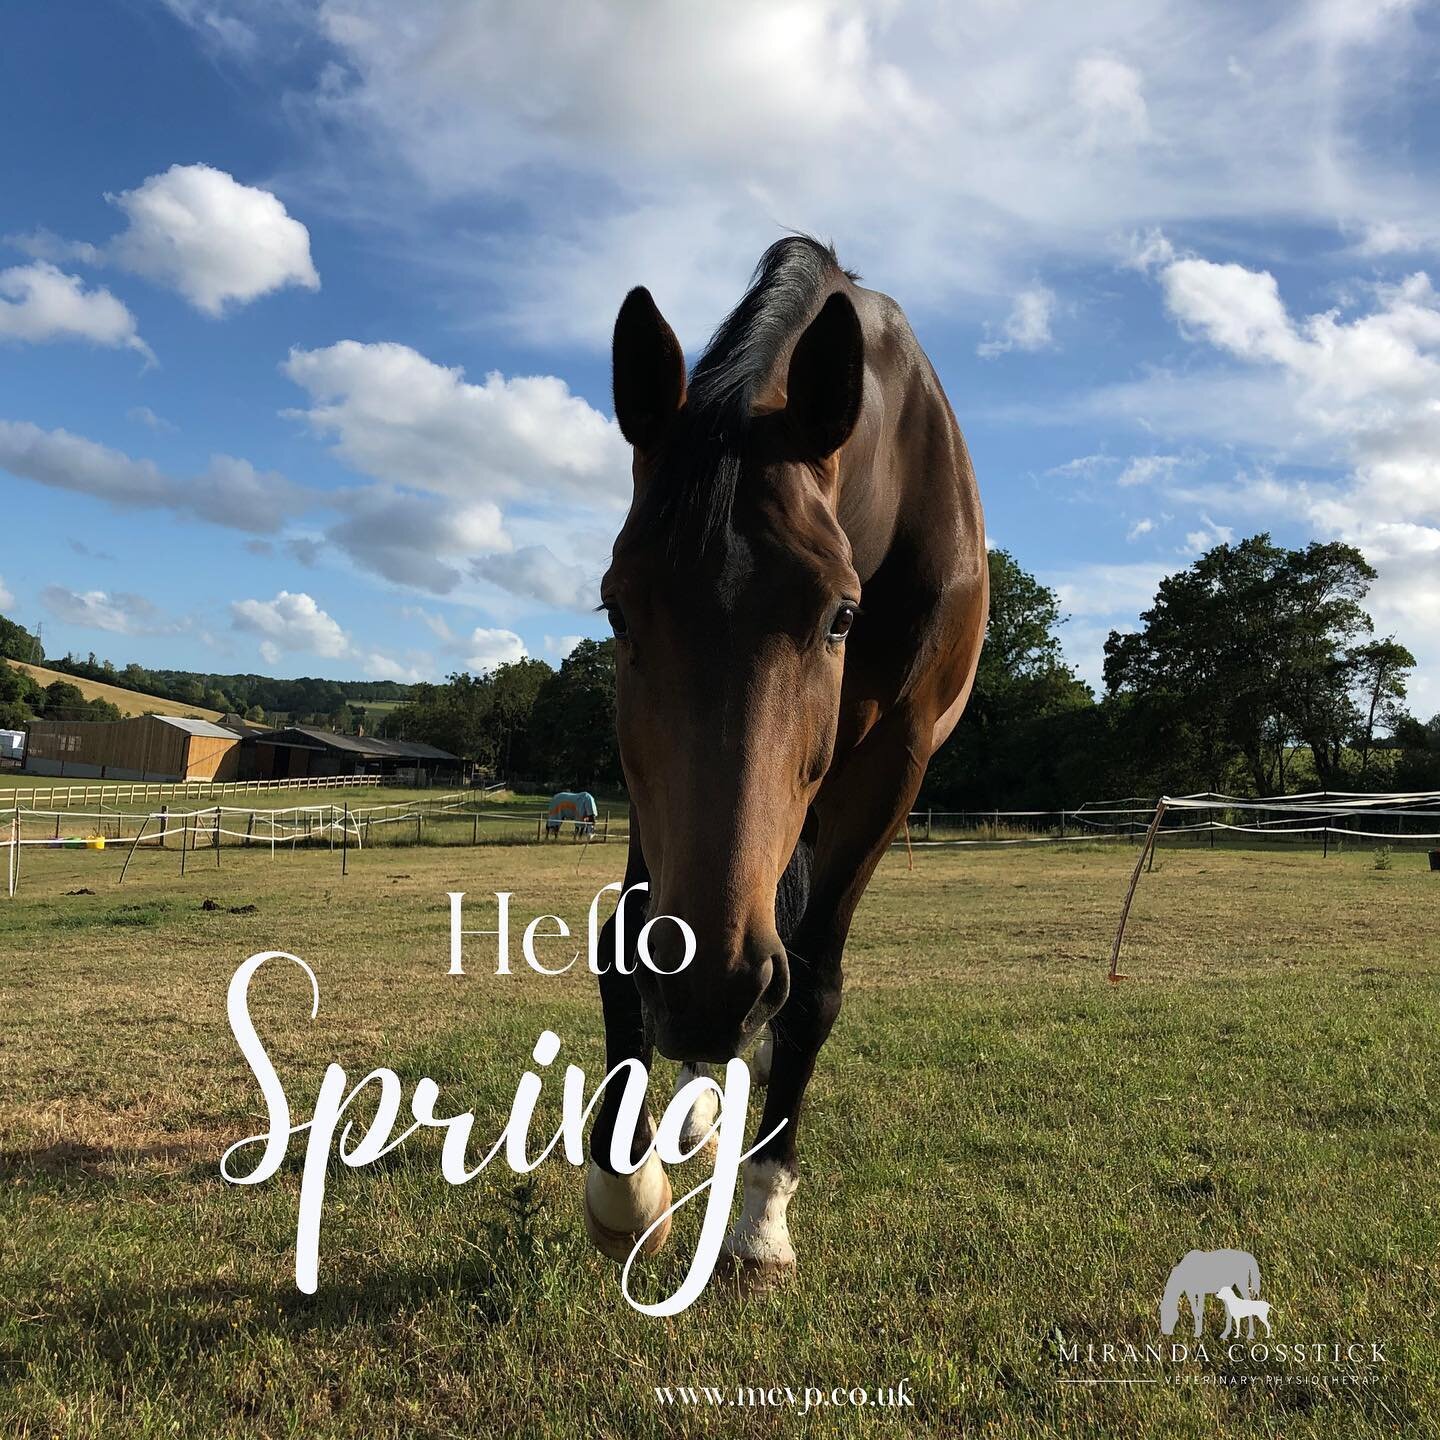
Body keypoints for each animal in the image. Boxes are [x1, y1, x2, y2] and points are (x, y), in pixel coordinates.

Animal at [582, 235, 988, 1290]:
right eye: (616, 608)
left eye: (840, 615)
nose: (711, 985)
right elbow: (622, 947)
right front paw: (623, 1189)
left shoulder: (892, 767)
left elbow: (815, 987)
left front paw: (762, 1221)